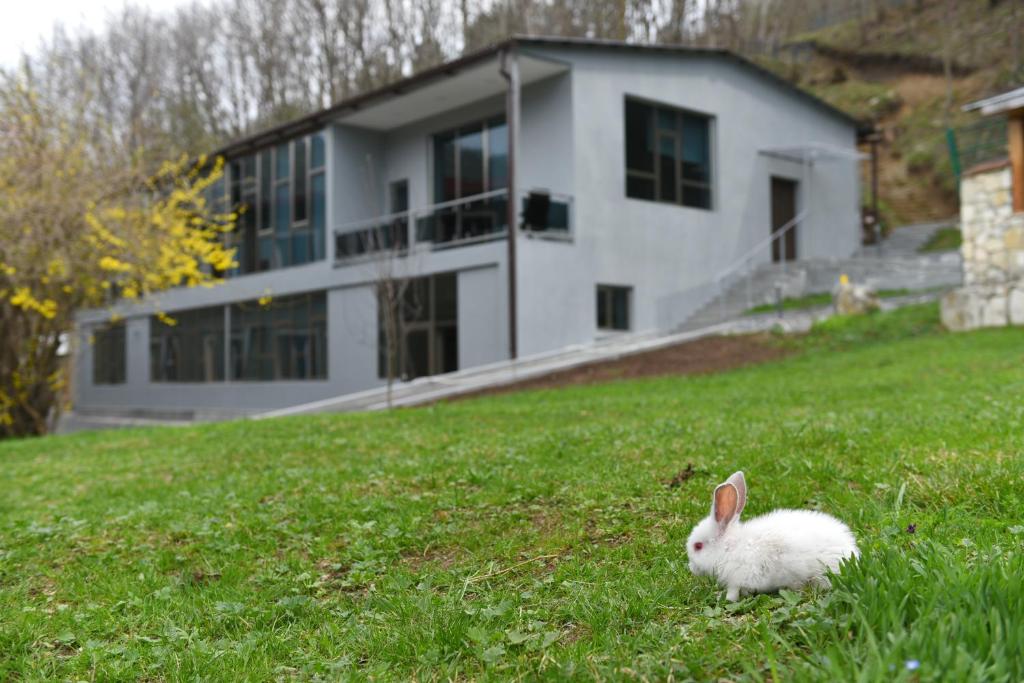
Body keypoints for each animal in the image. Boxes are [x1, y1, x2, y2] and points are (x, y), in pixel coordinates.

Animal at [684, 473, 860, 602]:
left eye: (698, 546)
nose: (691, 568)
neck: (729, 548)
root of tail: (853, 553)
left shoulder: (738, 577)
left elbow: (733, 593)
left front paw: (725, 598)